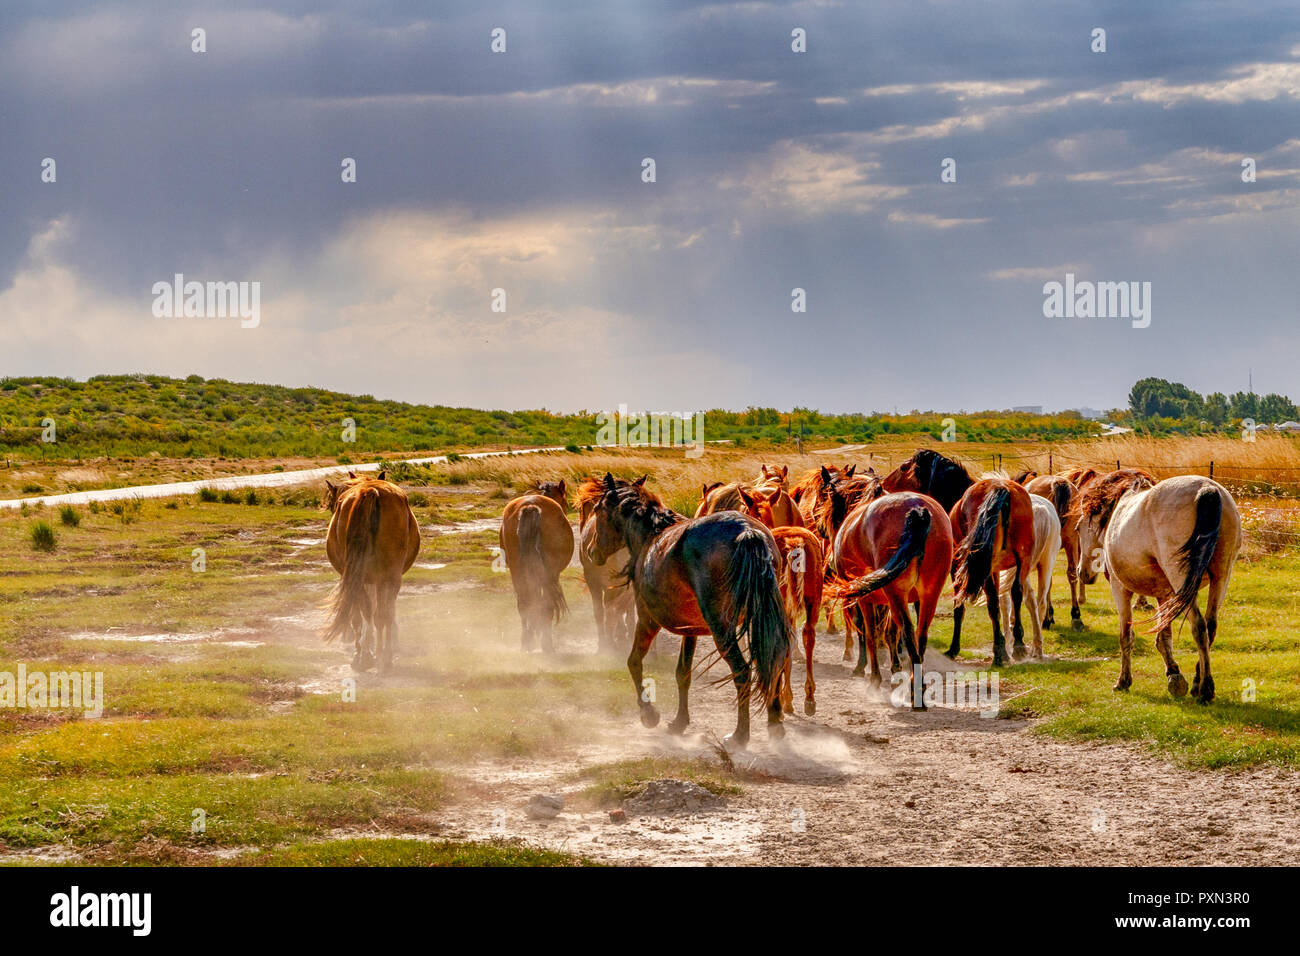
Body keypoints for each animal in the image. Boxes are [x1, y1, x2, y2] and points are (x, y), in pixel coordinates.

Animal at [325, 470, 421, 671]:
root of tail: (370, 491)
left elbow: (359, 614)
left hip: (365, 578)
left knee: (369, 613)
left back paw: (369, 656)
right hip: (389, 577)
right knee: (382, 613)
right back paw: (383, 657)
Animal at [496, 481, 574, 655]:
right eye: (565, 502)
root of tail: (530, 505)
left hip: (518, 571)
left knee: (524, 603)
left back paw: (527, 642)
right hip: (549, 574)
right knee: (547, 605)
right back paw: (546, 644)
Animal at [590, 470, 790, 749]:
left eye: (598, 510)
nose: (591, 551)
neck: (651, 536)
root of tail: (748, 532)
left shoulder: (647, 620)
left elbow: (634, 662)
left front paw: (648, 714)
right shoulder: (691, 629)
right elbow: (682, 674)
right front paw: (679, 722)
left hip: (722, 631)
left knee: (742, 671)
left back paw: (739, 735)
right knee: (774, 659)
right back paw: (774, 724)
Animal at [1071, 470, 1242, 702]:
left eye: (1079, 528)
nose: (1082, 573)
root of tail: (1207, 489)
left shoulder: (1120, 590)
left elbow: (1126, 636)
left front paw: (1123, 681)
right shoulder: (1164, 595)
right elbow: (1164, 637)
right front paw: (1174, 675)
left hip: (1182, 580)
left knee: (1199, 627)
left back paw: (1205, 689)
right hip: (1221, 577)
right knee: (1210, 626)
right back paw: (1198, 681)